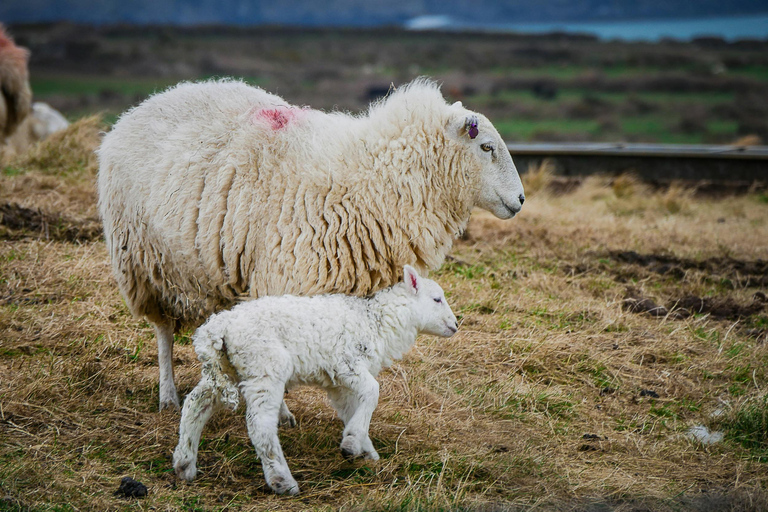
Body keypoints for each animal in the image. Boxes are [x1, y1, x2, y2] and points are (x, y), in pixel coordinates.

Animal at [99, 77, 524, 412]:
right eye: (486, 147)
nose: (520, 200)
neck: (373, 178)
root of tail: (141, 107)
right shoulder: (286, 279)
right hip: (144, 262)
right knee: (164, 332)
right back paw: (167, 395)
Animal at [171, 266, 456, 494]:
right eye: (437, 299)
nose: (455, 324)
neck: (376, 321)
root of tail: (217, 327)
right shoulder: (345, 364)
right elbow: (373, 392)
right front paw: (353, 442)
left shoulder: (338, 383)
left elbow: (351, 409)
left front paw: (364, 449)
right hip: (265, 366)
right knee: (260, 425)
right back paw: (282, 481)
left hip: (225, 367)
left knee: (196, 403)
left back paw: (185, 463)